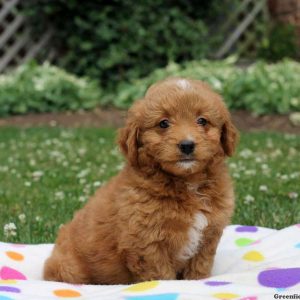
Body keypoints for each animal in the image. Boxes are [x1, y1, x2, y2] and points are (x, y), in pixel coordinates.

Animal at [43, 77, 238, 284]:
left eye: (202, 120)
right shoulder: (147, 243)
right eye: (163, 123)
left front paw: (200, 282)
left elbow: (199, 269)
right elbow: (161, 276)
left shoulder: (208, 238)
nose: (187, 145)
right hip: (68, 269)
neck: (187, 183)